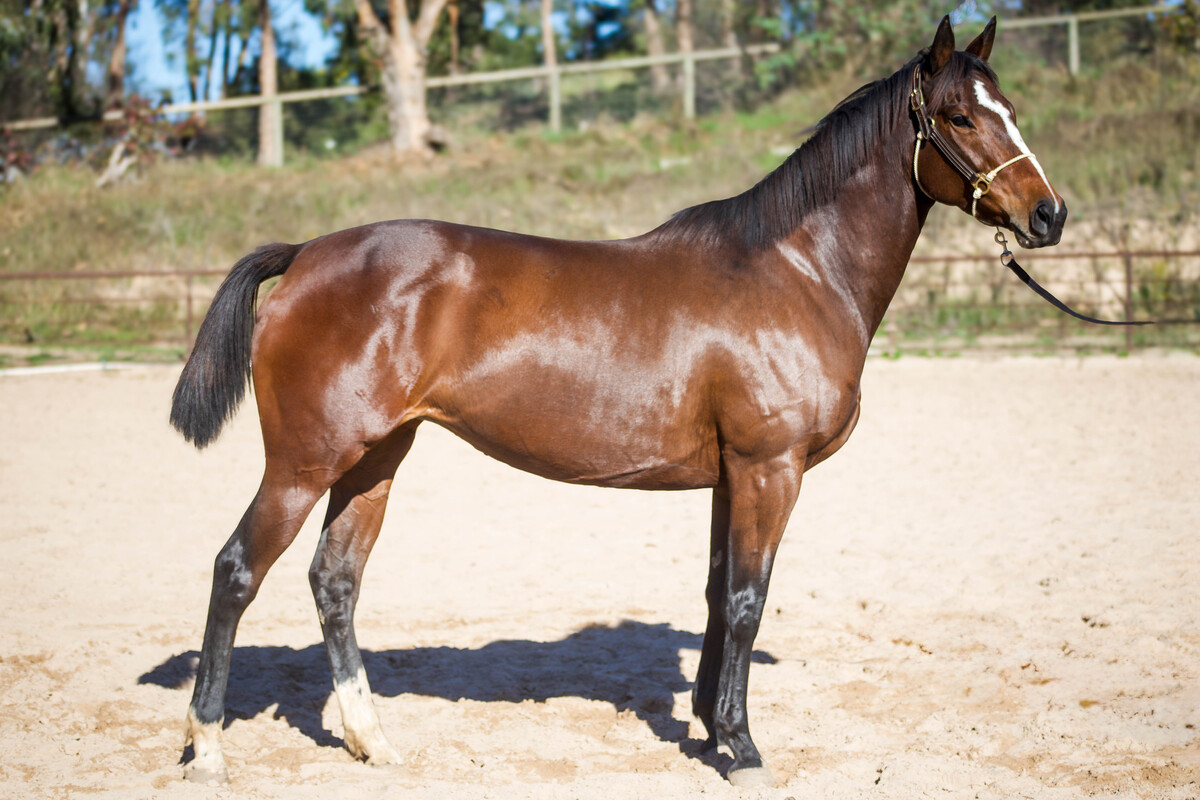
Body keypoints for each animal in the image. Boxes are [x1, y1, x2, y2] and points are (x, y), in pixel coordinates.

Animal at [170, 16, 1066, 788]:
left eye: (1013, 112)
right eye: (958, 115)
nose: (1048, 215)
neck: (799, 271)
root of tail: (306, 254)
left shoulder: (731, 476)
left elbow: (717, 593)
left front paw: (709, 726)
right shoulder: (769, 468)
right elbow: (748, 601)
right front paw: (742, 747)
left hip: (375, 457)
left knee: (336, 581)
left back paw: (371, 740)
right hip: (305, 462)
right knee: (236, 571)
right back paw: (207, 750)